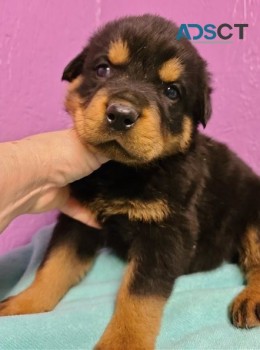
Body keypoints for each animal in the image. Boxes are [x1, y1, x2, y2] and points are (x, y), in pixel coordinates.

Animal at [0, 13, 260, 350]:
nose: (121, 114)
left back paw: (251, 301)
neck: (121, 172)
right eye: (103, 69)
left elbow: (139, 295)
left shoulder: (166, 232)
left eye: (171, 91)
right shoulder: (78, 220)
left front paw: (123, 341)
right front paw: (23, 305)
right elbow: (54, 265)